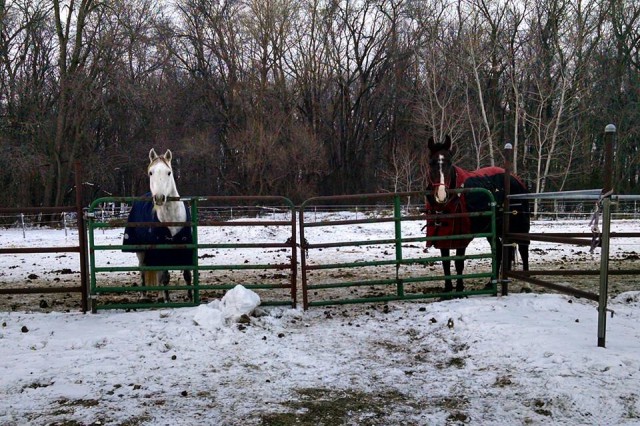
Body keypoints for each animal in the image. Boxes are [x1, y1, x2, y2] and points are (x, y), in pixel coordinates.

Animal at [424, 136, 528, 292]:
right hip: (494, 229)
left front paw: (460, 289)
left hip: (520, 225)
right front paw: (448, 289)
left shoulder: (461, 236)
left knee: (523, 249)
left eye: (449, 162)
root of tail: (516, 179)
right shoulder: (443, 235)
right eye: (431, 163)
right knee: (500, 250)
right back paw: (491, 282)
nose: (441, 195)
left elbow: (459, 263)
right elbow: (445, 262)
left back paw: (526, 286)